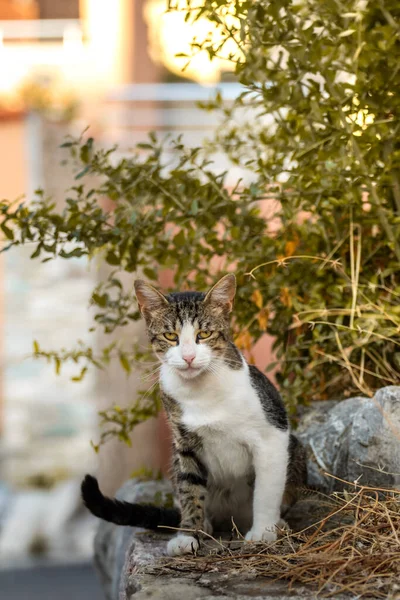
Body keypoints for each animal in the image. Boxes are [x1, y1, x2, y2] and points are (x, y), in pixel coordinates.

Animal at [80, 274, 306, 556]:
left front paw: (263, 531)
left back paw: (278, 524)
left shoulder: (272, 435)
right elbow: (189, 490)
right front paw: (188, 534)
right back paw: (205, 525)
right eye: (170, 335)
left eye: (204, 334)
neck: (201, 392)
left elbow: (267, 489)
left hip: (295, 450)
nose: (188, 357)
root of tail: (231, 519)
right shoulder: (184, 445)